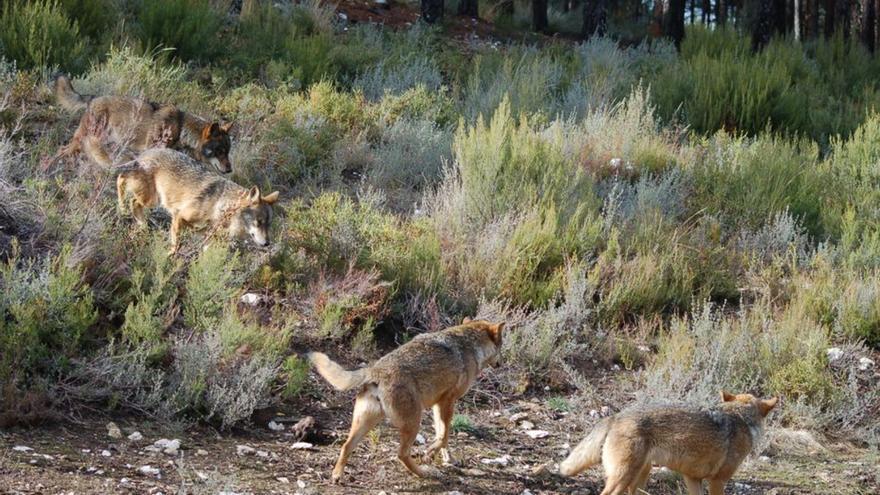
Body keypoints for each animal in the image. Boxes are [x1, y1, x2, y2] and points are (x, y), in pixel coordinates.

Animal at [53, 74, 234, 173]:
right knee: (62, 151)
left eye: (228, 152)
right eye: (219, 151)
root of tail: (92, 98)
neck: (181, 129)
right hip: (85, 140)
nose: (229, 170)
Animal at [115, 149, 276, 254]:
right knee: (122, 182)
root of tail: (145, 153)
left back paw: (140, 224)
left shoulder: (208, 237)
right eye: (259, 222)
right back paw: (123, 210)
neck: (220, 207)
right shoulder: (179, 216)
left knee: (130, 194)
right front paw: (170, 257)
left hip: (151, 200)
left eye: (268, 224)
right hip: (150, 200)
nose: (267, 243)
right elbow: (176, 244)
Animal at [308, 320, 506, 482]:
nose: (502, 363)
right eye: (502, 347)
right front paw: (430, 454)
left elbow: (442, 436)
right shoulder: (447, 402)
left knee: (345, 447)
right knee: (401, 454)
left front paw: (448, 458)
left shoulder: (438, 405)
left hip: (366, 424)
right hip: (413, 422)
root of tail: (375, 371)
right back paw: (423, 473)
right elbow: (444, 436)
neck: (471, 347)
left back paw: (336, 475)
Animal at [560, 394, 780, 494]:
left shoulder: (692, 478)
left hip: (638, 478)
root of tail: (616, 416)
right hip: (624, 477)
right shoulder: (718, 481)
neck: (741, 418)